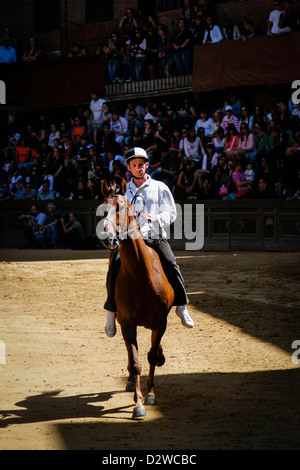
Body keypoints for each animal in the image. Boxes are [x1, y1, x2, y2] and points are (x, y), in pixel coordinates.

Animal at [97, 180, 175, 418]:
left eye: (120, 207)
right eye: (101, 209)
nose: (108, 237)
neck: (141, 275)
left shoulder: (160, 323)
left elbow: (151, 356)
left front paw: (150, 395)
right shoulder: (128, 323)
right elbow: (136, 362)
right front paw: (138, 403)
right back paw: (132, 382)